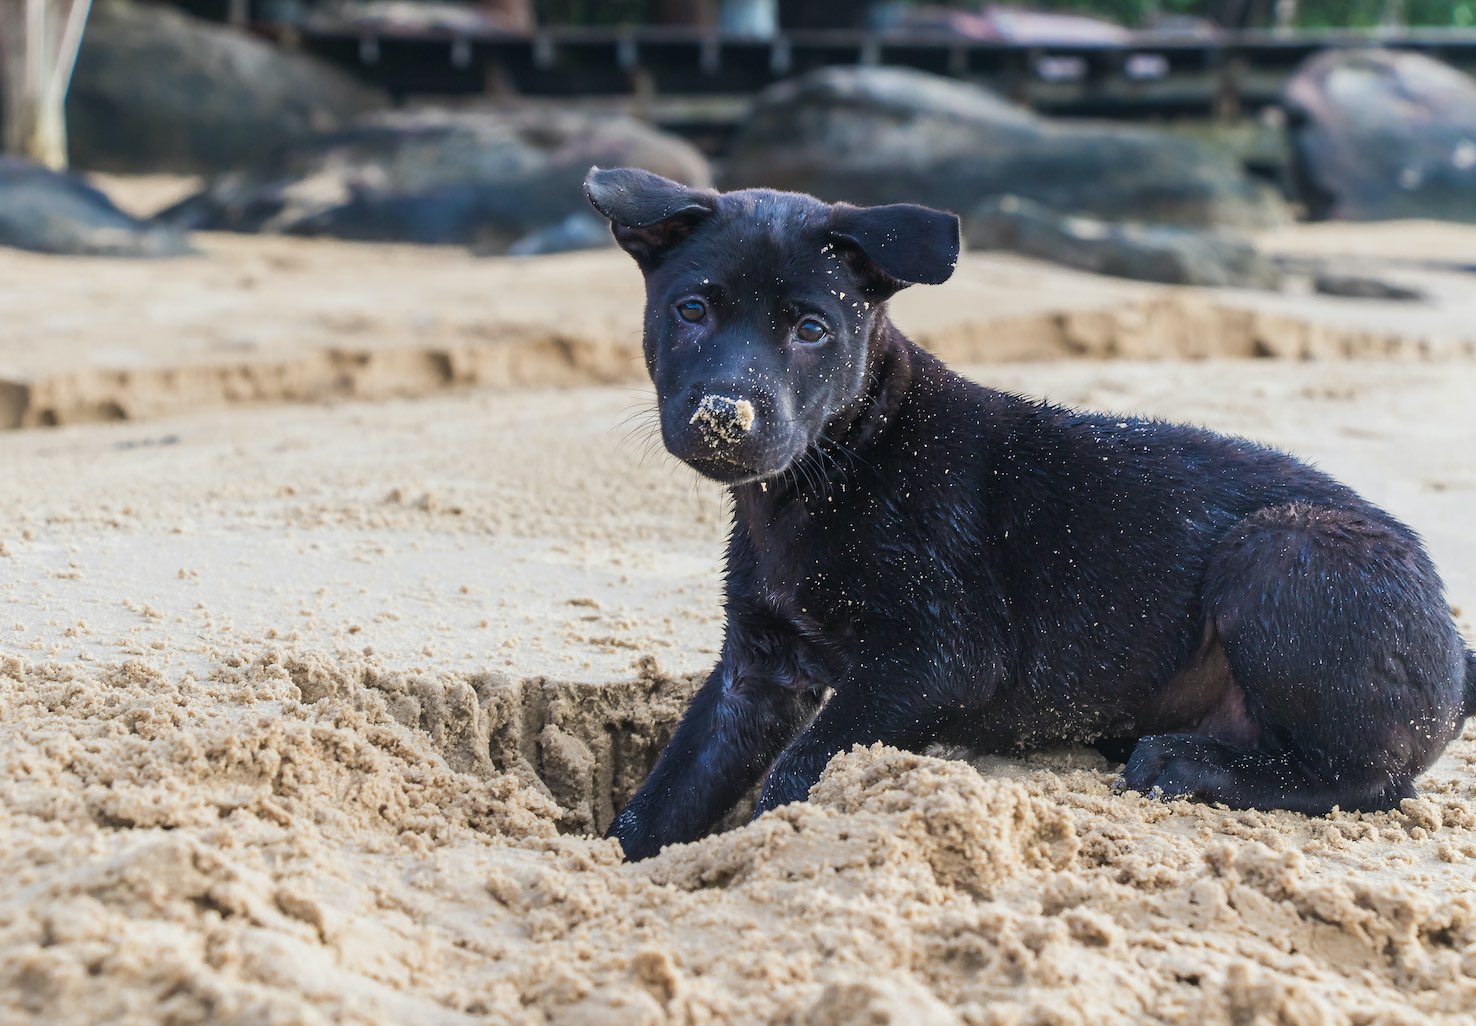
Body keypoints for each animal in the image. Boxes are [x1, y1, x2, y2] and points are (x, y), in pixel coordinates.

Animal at [584, 164, 1476, 862]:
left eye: (810, 328)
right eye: (691, 310)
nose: (723, 417)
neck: (832, 472)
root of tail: (1454, 647)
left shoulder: (935, 656)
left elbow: (802, 769)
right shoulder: (755, 671)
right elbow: (669, 790)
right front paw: (612, 866)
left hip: (1283, 547)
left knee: (1372, 779)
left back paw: (1186, 765)